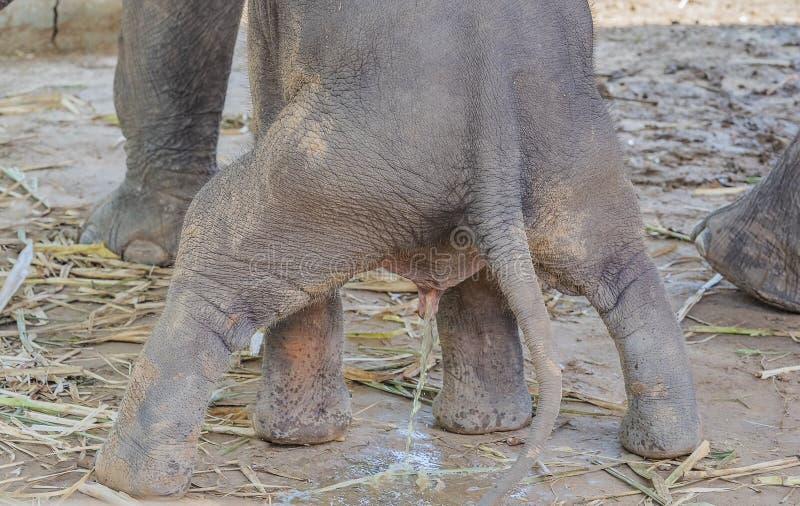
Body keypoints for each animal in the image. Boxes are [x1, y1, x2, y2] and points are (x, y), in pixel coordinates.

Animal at [85, 0, 702, 503]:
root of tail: (493, 124)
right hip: (579, 162)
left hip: (336, 168)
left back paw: (126, 478)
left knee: (219, 249)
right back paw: (659, 446)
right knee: (626, 277)